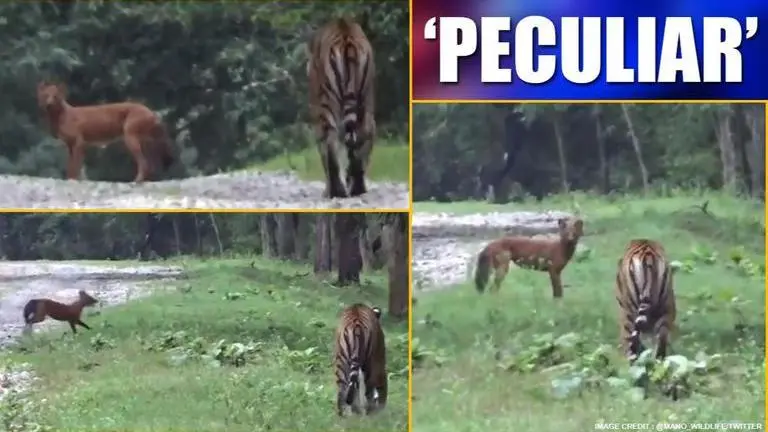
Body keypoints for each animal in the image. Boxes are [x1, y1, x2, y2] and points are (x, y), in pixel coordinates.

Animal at [306, 17, 376, 199]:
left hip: (326, 106)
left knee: (329, 144)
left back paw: (335, 191)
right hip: (364, 103)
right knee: (362, 135)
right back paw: (357, 188)